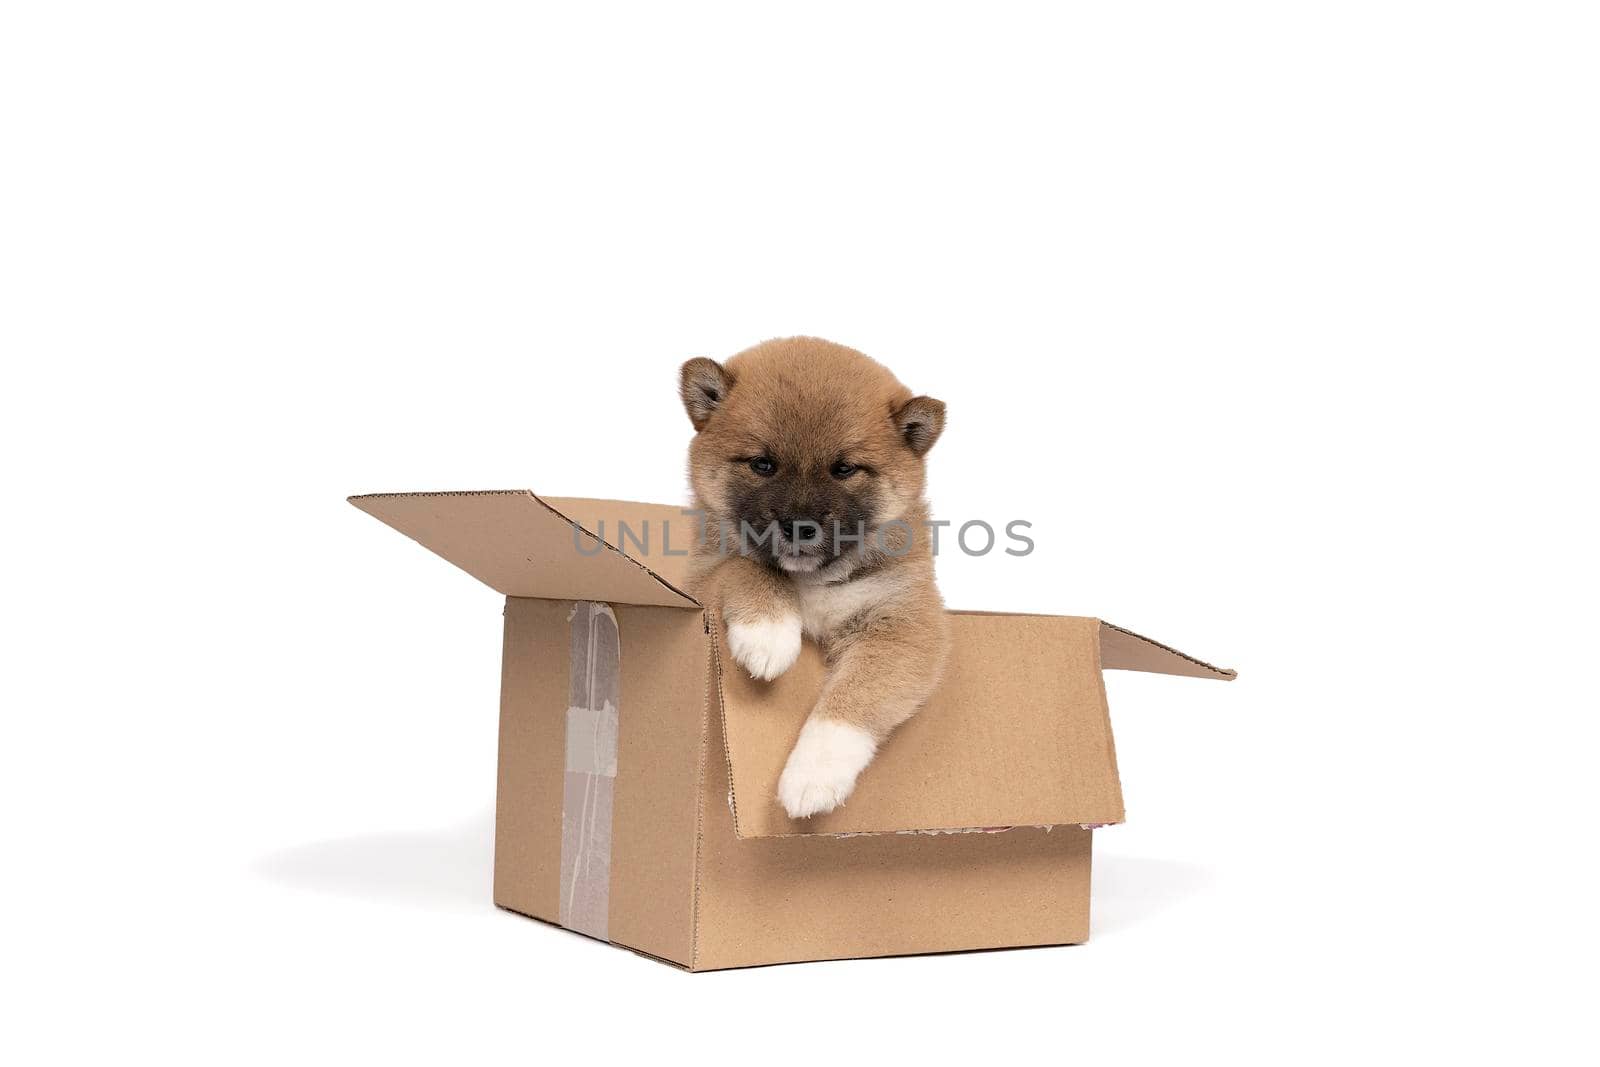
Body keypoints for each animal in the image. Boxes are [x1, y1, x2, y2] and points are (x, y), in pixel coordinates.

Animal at [678, 335, 947, 819]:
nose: (799, 527)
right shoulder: (699, 576)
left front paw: (813, 777)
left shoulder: (903, 623)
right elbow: (747, 565)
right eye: (763, 464)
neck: (812, 581)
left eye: (843, 469)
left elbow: (850, 703)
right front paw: (768, 634)